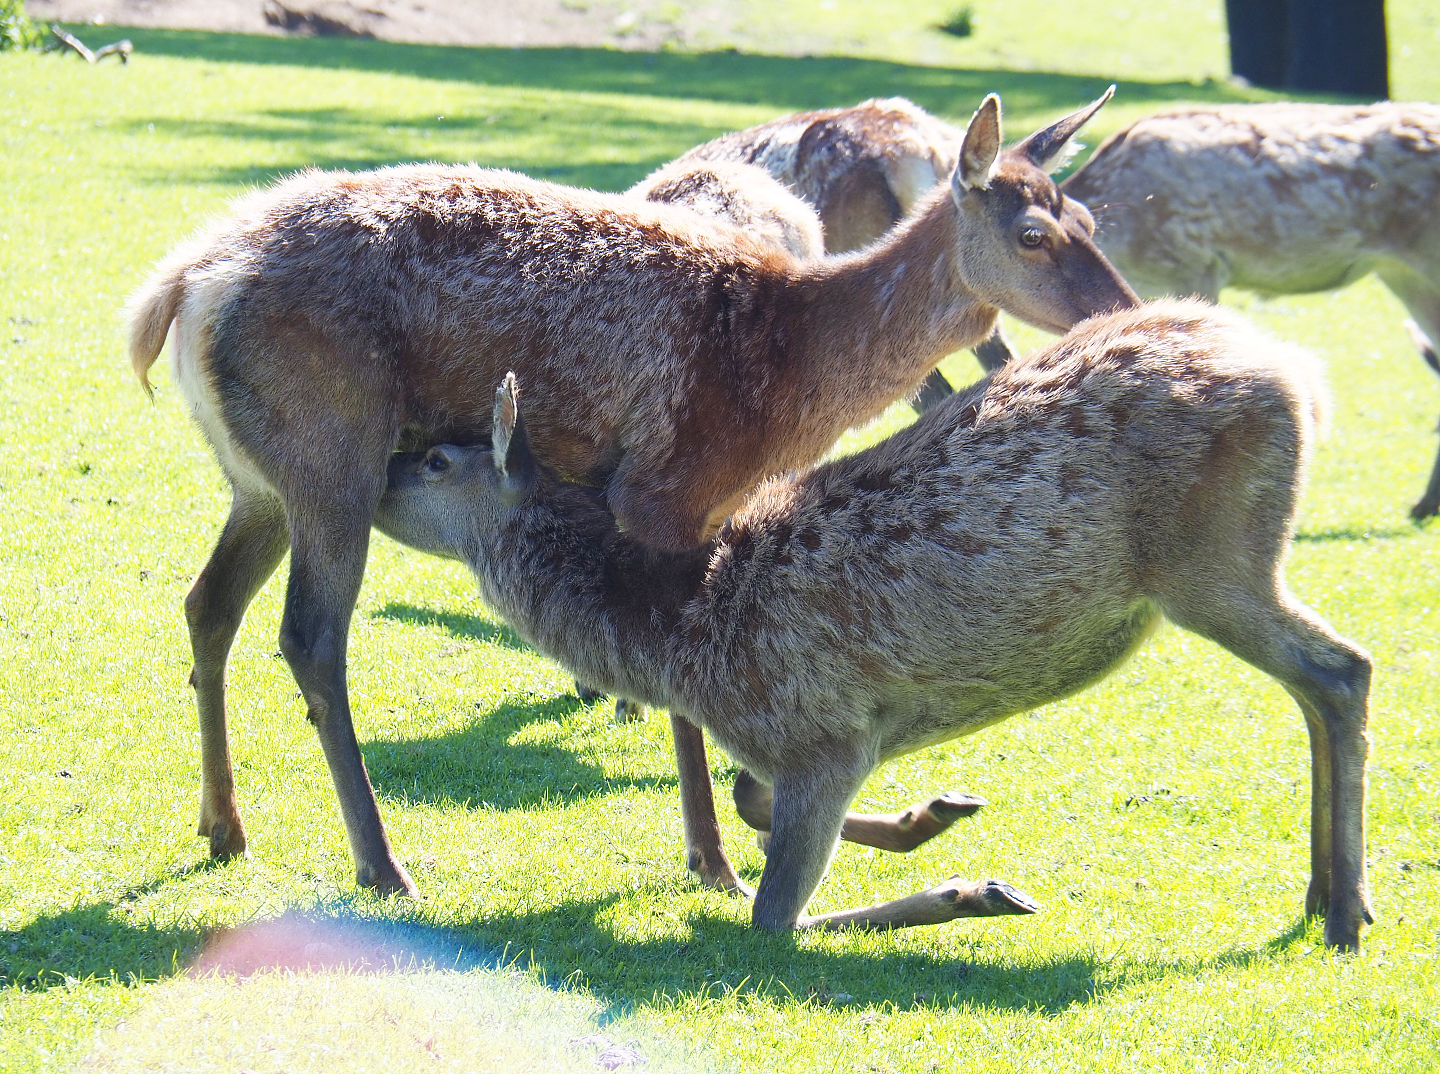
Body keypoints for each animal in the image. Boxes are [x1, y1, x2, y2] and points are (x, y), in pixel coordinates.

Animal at [127, 90, 1137, 898]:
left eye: (1089, 214)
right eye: (1031, 233)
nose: (1119, 310)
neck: (786, 375)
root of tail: (180, 290)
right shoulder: (664, 487)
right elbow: (679, 677)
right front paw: (714, 861)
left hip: (259, 480)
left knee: (208, 604)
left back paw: (224, 827)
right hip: (331, 457)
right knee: (310, 636)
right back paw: (382, 862)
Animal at [372, 299, 1374, 951]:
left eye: (435, 459)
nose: (372, 472)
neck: (677, 637)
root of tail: (1299, 376)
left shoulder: (822, 730)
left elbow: (773, 917)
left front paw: (979, 890)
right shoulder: (817, 738)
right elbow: (749, 799)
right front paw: (936, 814)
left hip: (1212, 561)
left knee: (1342, 668)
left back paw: (1343, 911)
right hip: (1231, 565)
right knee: (1314, 684)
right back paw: (1325, 890)